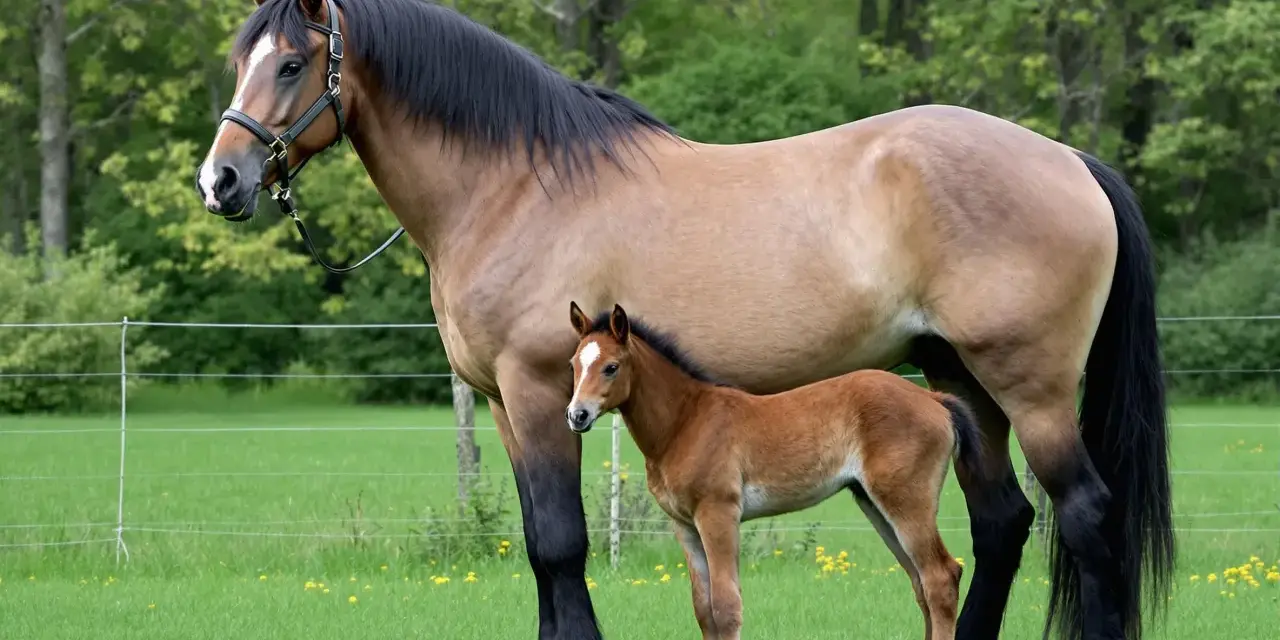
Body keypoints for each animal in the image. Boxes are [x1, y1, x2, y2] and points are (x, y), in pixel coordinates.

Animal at [566, 302, 990, 640]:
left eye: (611, 367)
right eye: (573, 365)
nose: (577, 415)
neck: (684, 422)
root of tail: (936, 401)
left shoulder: (718, 514)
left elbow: (726, 606)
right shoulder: (684, 525)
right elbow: (704, 610)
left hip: (906, 501)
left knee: (940, 578)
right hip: (875, 503)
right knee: (920, 584)